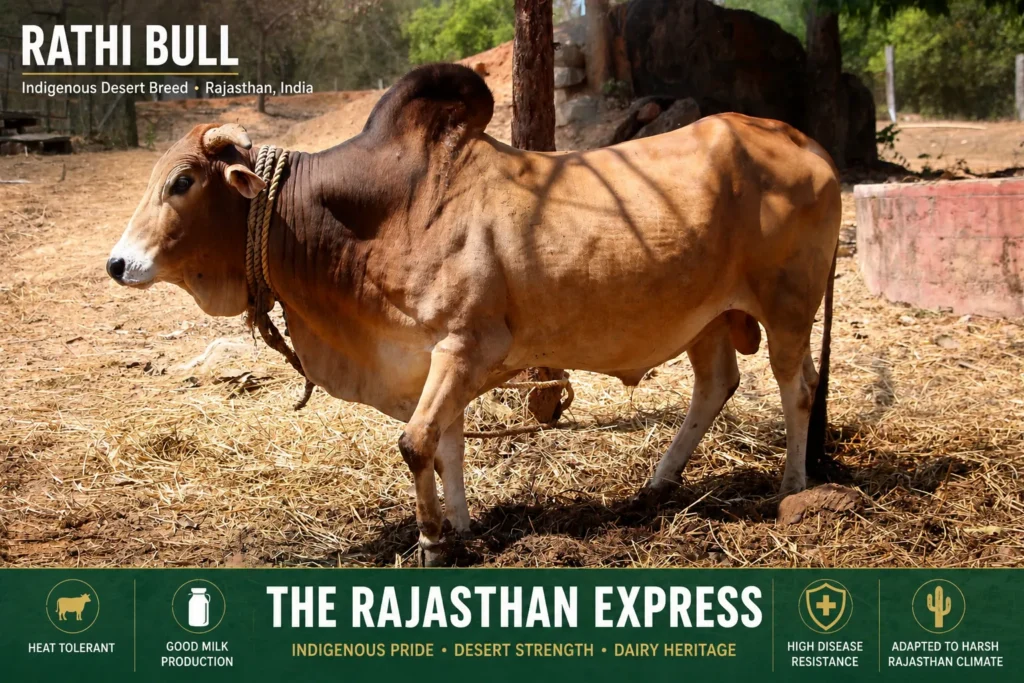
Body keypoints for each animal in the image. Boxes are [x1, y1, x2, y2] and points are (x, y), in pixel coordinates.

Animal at [107, 64, 840, 565]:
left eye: (183, 181)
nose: (118, 263)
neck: (377, 217)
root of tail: (806, 144)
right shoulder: (434, 354)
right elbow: (447, 443)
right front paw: (462, 526)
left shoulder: (464, 345)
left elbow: (416, 442)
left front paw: (433, 539)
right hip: (707, 319)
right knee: (716, 385)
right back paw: (657, 484)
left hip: (788, 308)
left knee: (797, 385)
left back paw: (791, 486)